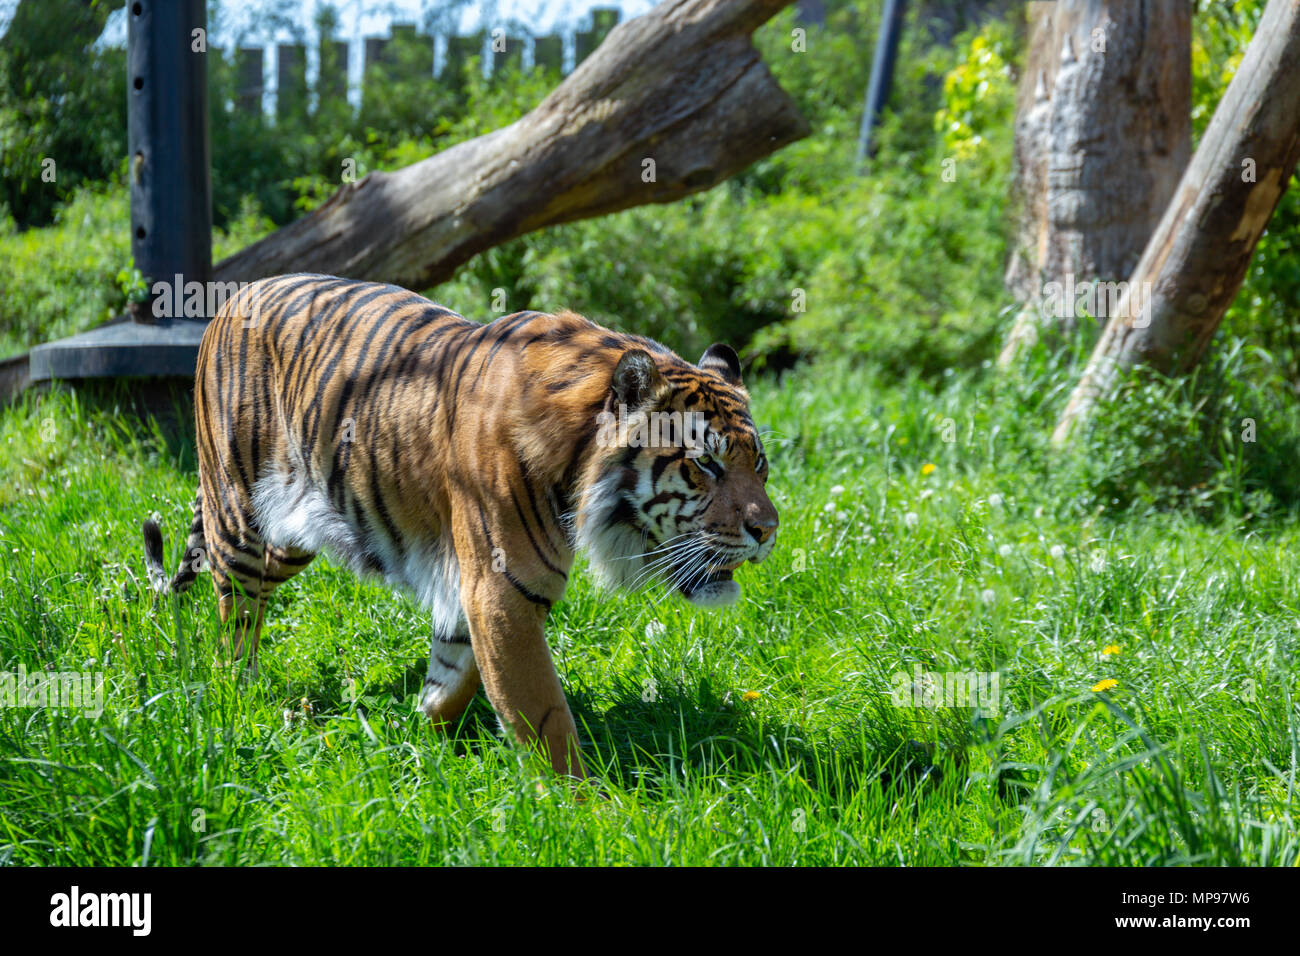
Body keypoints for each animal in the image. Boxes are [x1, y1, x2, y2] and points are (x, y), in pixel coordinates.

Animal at [143, 273, 774, 780]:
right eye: (706, 464)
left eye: (759, 463)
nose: (768, 530)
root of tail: (234, 296)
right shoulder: (503, 592)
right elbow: (545, 715)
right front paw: (586, 808)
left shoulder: (474, 589)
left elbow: (458, 673)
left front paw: (423, 732)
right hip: (241, 516)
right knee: (234, 615)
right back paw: (239, 696)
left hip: (293, 534)